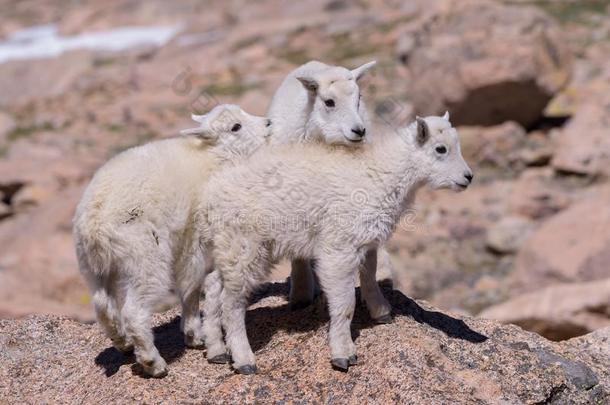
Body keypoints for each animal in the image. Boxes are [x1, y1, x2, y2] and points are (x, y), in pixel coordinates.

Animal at [72, 104, 270, 376]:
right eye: (235, 127)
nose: (269, 124)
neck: (212, 157)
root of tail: (93, 222)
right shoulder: (194, 239)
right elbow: (191, 284)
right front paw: (194, 335)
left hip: (93, 266)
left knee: (102, 303)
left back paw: (123, 343)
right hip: (145, 258)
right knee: (134, 310)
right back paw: (153, 363)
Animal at [202, 112, 472, 370]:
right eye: (440, 149)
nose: (468, 177)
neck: (381, 175)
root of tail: (211, 193)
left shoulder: (367, 241)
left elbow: (370, 276)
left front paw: (381, 312)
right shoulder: (340, 246)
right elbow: (344, 303)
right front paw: (343, 353)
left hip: (227, 246)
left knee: (213, 289)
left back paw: (217, 351)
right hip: (245, 244)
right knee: (232, 303)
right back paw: (244, 360)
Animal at [266, 59, 390, 322]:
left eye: (359, 97)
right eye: (329, 102)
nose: (358, 131)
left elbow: (370, 260)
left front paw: (378, 307)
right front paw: (301, 296)